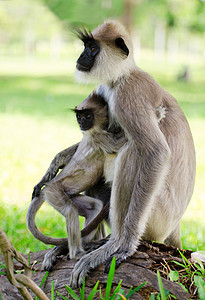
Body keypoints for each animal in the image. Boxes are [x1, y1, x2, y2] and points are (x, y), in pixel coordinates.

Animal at [69, 19, 196, 288]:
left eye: (92, 48)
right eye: (85, 47)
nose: (81, 57)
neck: (121, 77)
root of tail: (176, 226)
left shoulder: (129, 95)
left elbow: (156, 153)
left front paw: (125, 244)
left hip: (158, 216)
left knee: (133, 152)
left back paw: (116, 241)